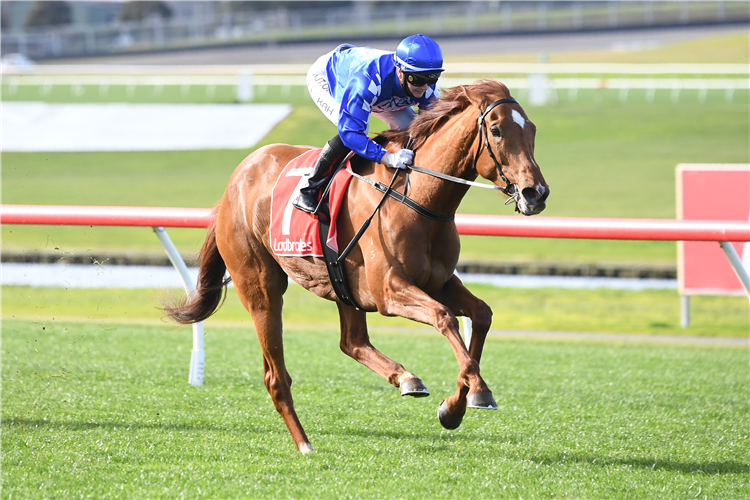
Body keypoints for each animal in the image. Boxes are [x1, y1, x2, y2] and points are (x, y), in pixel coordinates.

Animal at [167, 79, 548, 454]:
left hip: (342, 285)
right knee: (276, 375)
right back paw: (304, 443)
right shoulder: (388, 290)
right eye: (496, 130)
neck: (418, 198)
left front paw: (454, 407)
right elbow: (444, 317)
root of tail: (235, 182)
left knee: (351, 342)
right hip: (260, 288)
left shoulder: (438, 282)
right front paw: (477, 391)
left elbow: (481, 314)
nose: (536, 193)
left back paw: (405, 378)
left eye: (531, 128)